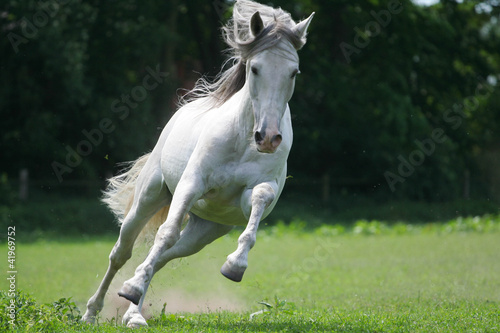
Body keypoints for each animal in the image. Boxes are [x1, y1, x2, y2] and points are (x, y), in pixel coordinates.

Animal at [84, 0, 314, 326]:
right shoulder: (192, 184)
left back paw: (134, 311)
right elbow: (166, 232)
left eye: (294, 72)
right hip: (149, 199)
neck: (243, 139)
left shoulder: (251, 195)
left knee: (162, 257)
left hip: (205, 231)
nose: (268, 138)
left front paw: (235, 265)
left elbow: (260, 198)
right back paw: (93, 312)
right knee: (123, 252)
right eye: (255, 68)